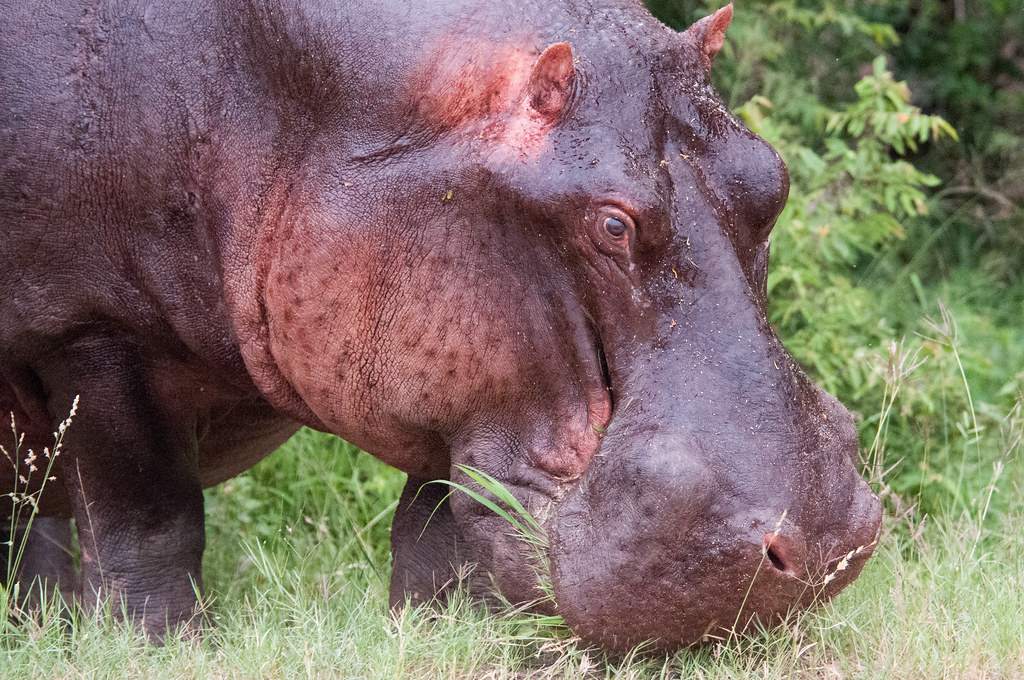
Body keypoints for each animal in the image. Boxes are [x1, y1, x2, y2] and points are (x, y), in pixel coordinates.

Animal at [0, 0, 882, 650]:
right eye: (613, 224)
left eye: (772, 177)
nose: (825, 546)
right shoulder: (90, 335)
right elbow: (152, 523)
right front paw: (166, 649)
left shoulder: (460, 368)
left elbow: (434, 535)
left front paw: (441, 640)